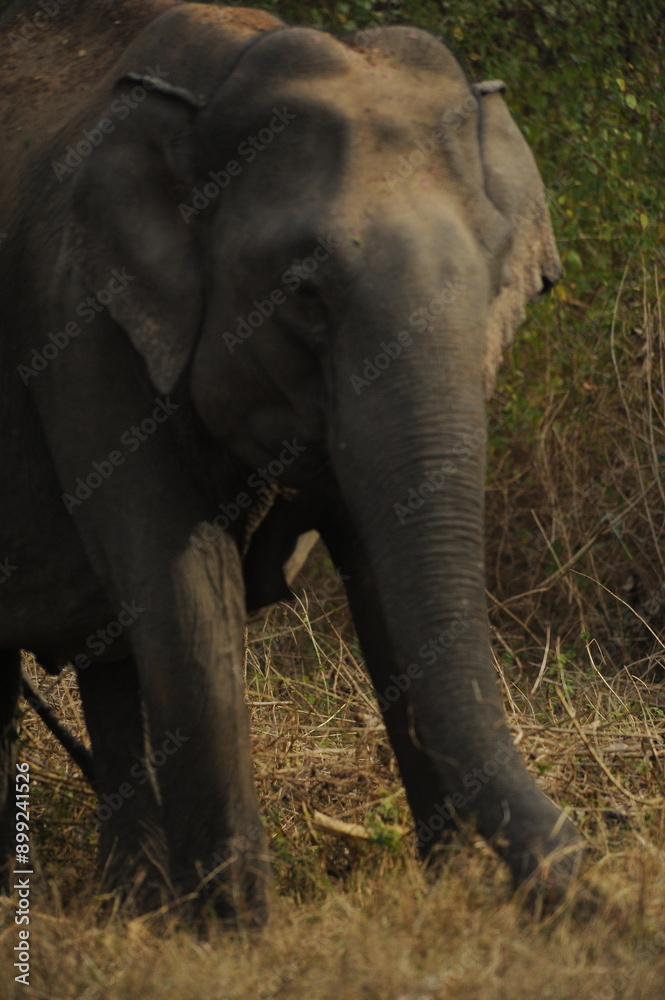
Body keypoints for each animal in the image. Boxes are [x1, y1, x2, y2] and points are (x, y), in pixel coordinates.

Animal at [0, 0, 583, 921]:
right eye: (304, 294)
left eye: (500, 281)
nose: (579, 865)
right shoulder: (80, 324)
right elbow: (179, 583)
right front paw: (235, 927)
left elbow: (381, 580)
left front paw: (445, 888)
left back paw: (133, 906)